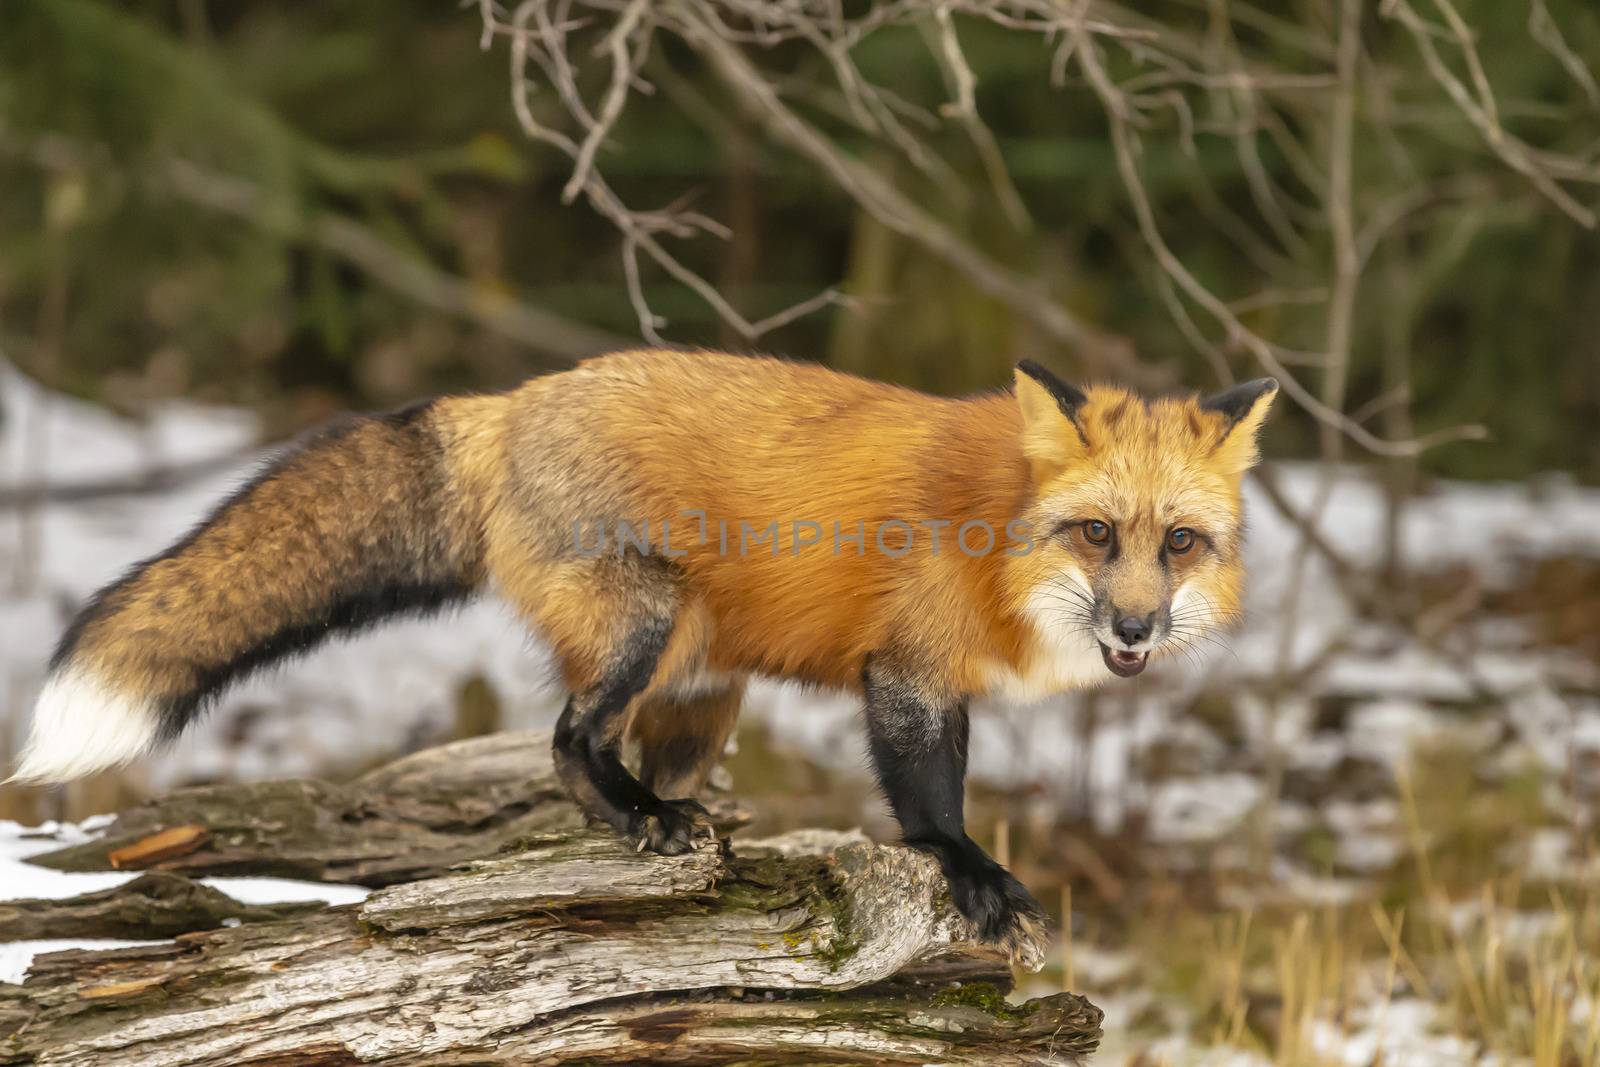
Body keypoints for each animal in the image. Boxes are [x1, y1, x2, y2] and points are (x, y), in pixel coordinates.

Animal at [6, 351, 1267, 966]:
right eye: (1096, 533)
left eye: (1179, 542)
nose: (1136, 629)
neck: (996, 536)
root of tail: (509, 400)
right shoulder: (907, 671)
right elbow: (929, 799)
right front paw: (972, 876)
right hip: (646, 623)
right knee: (568, 740)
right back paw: (636, 818)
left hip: (704, 687)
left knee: (620, 757)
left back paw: (666, 829)